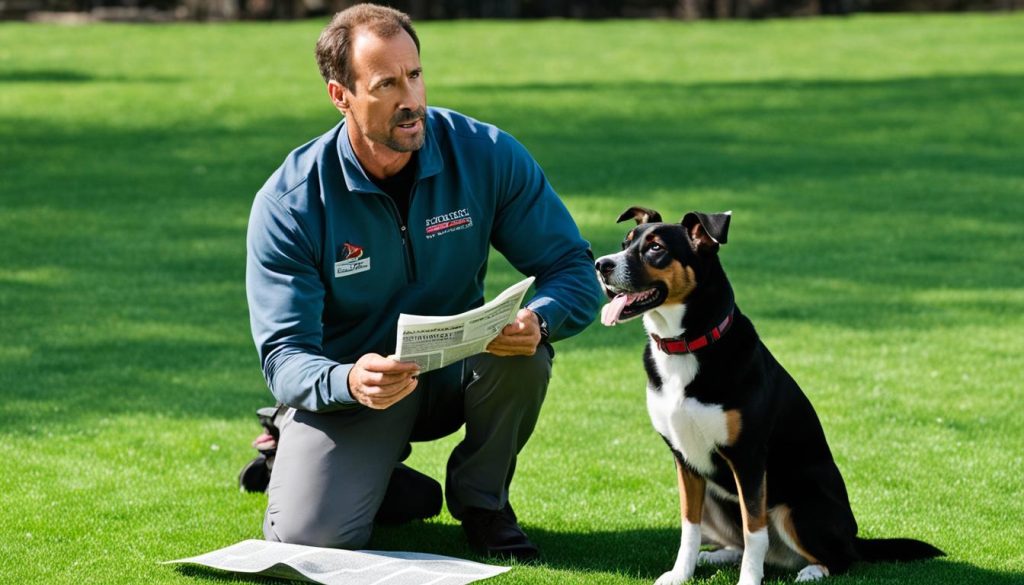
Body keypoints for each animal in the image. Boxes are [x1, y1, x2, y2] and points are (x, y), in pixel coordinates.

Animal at [598, 207, 937, 581]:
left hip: (797, 508)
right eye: (625, 244)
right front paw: (680, 574)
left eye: (655, 249)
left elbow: (754, 531)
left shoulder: (748, 458)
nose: (601, 264)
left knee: (841, 558)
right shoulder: (685, 459)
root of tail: (855, 537)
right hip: (716, 496)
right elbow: (690, 526)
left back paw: (812, 571)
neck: (686, 347)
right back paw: (718, 555)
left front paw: (749, 580)